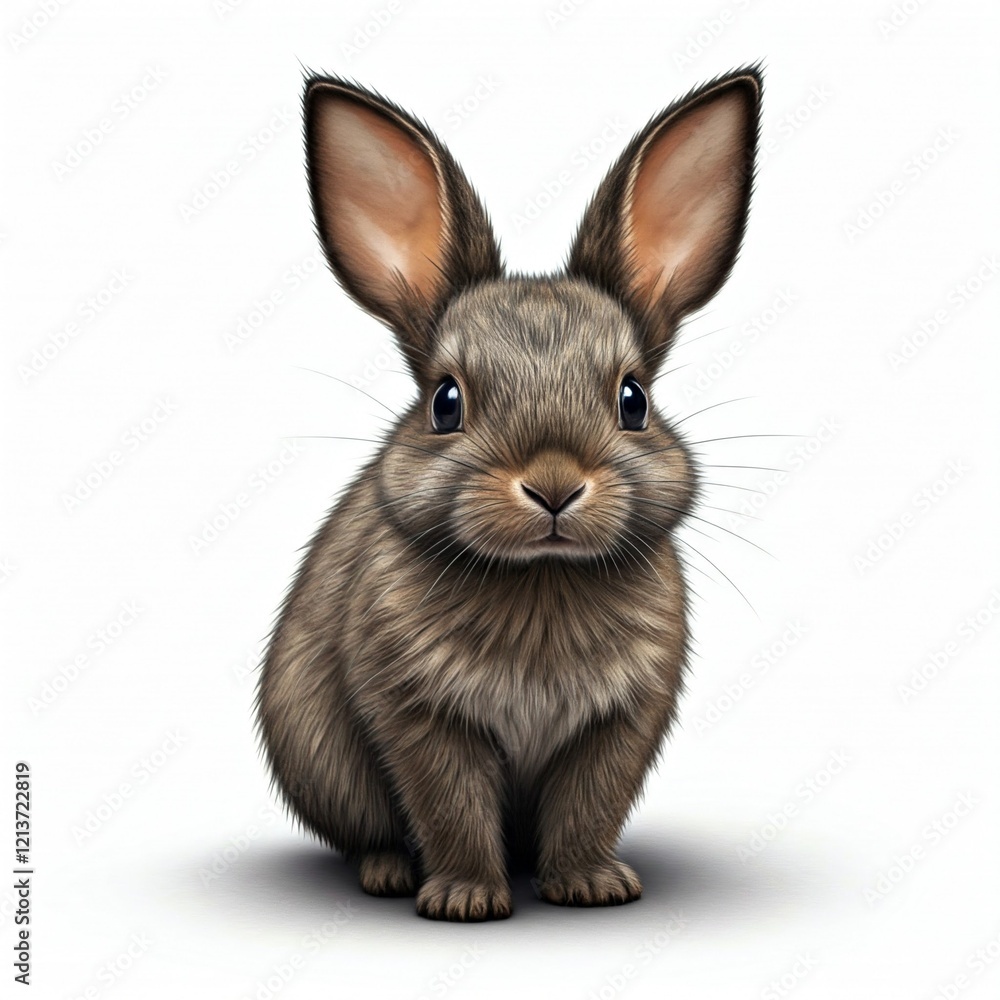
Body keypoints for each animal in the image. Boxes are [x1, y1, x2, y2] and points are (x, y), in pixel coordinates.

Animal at [257, 66, 762, 921]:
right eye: (446, 403)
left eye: (633, 399)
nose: (554, 485)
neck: (541, 580)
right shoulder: (418, 713)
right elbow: (450, 804)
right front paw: (465, 901)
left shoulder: (622, 721)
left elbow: (590, 803)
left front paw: (592, 888)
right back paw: (389, 873)